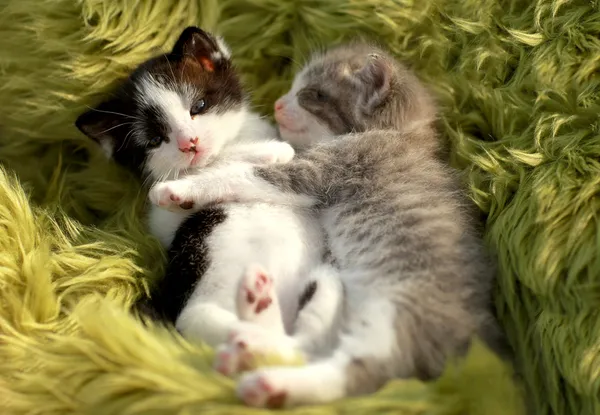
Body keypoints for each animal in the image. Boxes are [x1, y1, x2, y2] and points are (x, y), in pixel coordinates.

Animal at [76, 26, 328, 348]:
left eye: (199, 107)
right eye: (155, 139)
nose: (189, 143)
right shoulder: (162, 221)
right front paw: (266, 152)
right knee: (201, 319)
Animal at [146, 43, 506, 410]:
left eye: (313, 94)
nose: (278, 103)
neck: (398, 134)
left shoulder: (326, 171)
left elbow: (244, 176)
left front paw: (177, 190)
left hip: (397, 316)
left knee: (355, 371)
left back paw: (268, 380)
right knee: (311, 345)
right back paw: (252, 332)